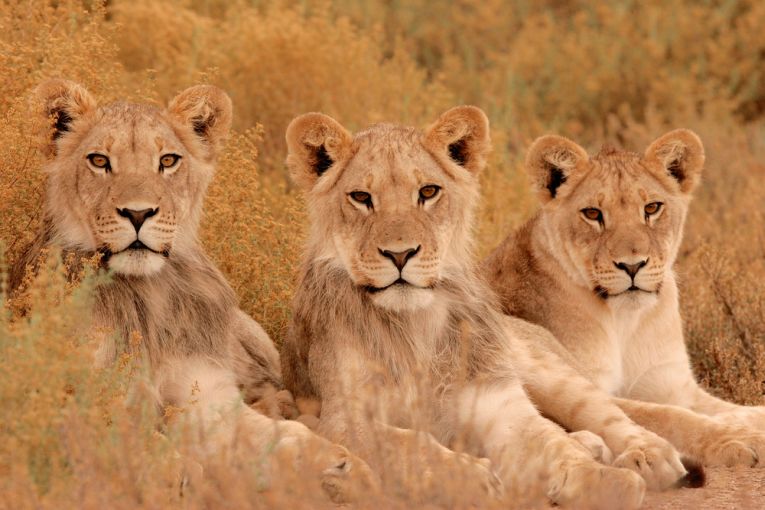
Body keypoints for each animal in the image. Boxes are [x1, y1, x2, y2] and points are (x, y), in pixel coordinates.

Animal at [10, 79, 376, 503]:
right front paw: (179, 478)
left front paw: (343, 467)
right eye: (99, 161)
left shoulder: (208, 393)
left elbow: (274, 435)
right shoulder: (81, 395)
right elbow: (143, 447)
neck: (145, 293)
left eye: (168, 161)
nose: (138, 213)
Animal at [280, 107, 702, 508]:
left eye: (428, 192)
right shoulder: (343, 418)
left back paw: (649, 454)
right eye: (361, 198)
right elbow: (409, 444)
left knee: (609, 412)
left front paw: (606, 482)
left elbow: (549, 443)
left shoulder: (498, 401)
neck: (417, 324)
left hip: (551, 372)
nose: (400, 254)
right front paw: (473, 478)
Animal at [483, 130, 765, 469]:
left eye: (652, 208)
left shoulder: (674, 386)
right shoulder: (598, 384)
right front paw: (736, 441)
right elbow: (671, 417)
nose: (632, 266)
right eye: (593, 214)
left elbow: (728, 409)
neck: (626, 321)